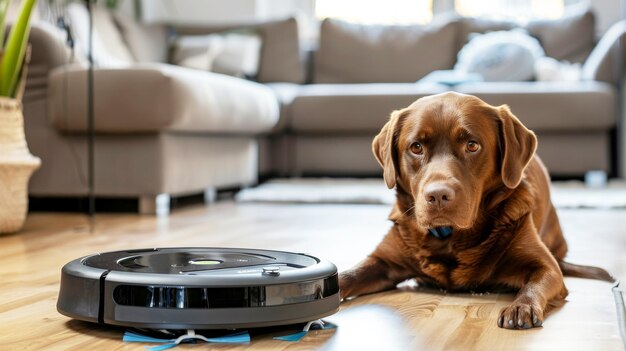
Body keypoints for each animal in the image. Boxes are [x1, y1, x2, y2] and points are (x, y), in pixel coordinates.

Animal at [338, 91, 612, 330]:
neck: (448, 238)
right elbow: (346, 277)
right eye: (416, 147)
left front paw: (521, 307)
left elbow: (536, 282)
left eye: (472, 145)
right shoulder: (382, 260)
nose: (438, 195)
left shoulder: (546, 267)